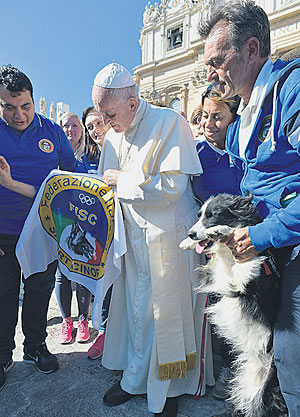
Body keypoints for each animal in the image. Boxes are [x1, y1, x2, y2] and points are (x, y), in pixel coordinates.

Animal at [180, 194, 288, 416]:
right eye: (199, 215)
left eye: (212, 216)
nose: (191, 234)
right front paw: (186, 242)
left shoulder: (249, 281)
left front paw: (219, 231)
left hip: (268, 391)